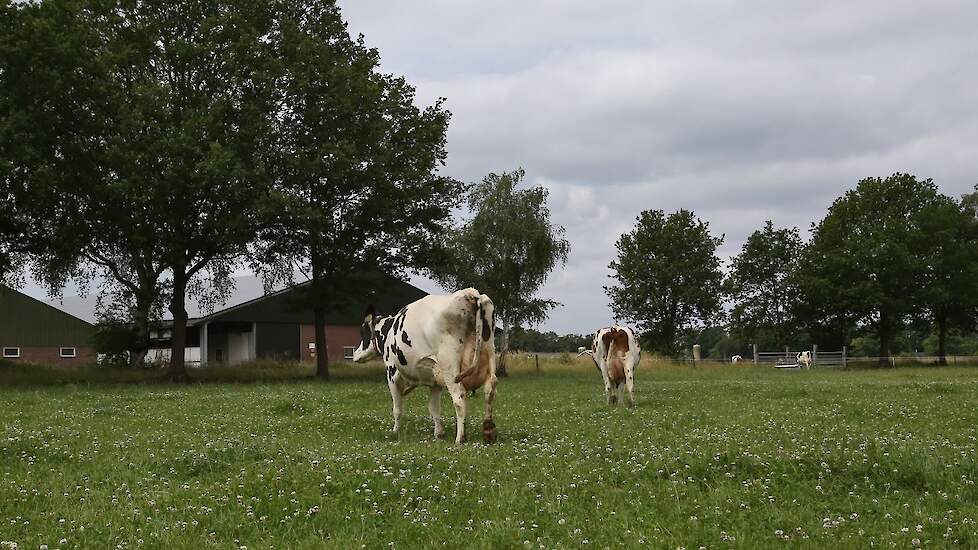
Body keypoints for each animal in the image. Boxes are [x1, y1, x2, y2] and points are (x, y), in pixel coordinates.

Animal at [352, 292, 500, 446]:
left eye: (363, 331)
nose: (355, 354)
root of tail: (470, 293)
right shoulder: (435, 380)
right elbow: (434, 408)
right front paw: (439, 433)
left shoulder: (391, 372)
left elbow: (397, 408)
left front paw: (395, 431)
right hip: (489, 355)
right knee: (490, 390)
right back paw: (488, 431)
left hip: (450, 367)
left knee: (459, 398)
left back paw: (459, 438)